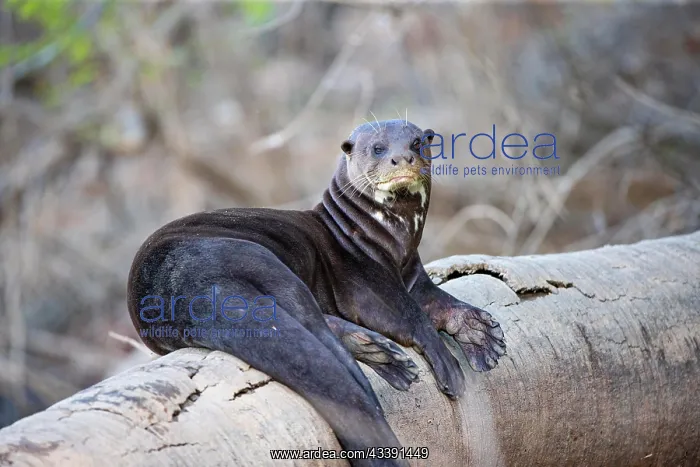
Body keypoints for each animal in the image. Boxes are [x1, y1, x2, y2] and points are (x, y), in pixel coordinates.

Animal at [127, 119, 505, 467]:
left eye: (416, 142)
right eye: (378, 148)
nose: (402, 158)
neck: (388, 240)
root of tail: (177, 291)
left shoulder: (413, 273)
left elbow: (441, 301)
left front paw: (478, 331)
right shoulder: (366, 280)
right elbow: (408, 315)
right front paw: (447, 363)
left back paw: (379, 352)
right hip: (259, 260)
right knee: (319, 331)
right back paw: (383, 361)